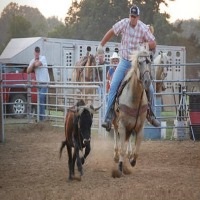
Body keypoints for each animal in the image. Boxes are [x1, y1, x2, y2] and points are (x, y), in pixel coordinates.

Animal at [112, 49, 152, 177]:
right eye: (139, 63)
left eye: (149, 61)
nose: (147, 81)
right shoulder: (122, 125)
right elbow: (122, 149)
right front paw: (120, 167)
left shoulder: (139, 127)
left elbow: (137, 149)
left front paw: (132, 160)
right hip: (115, 121)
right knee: (116, 135)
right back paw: (116, 156)